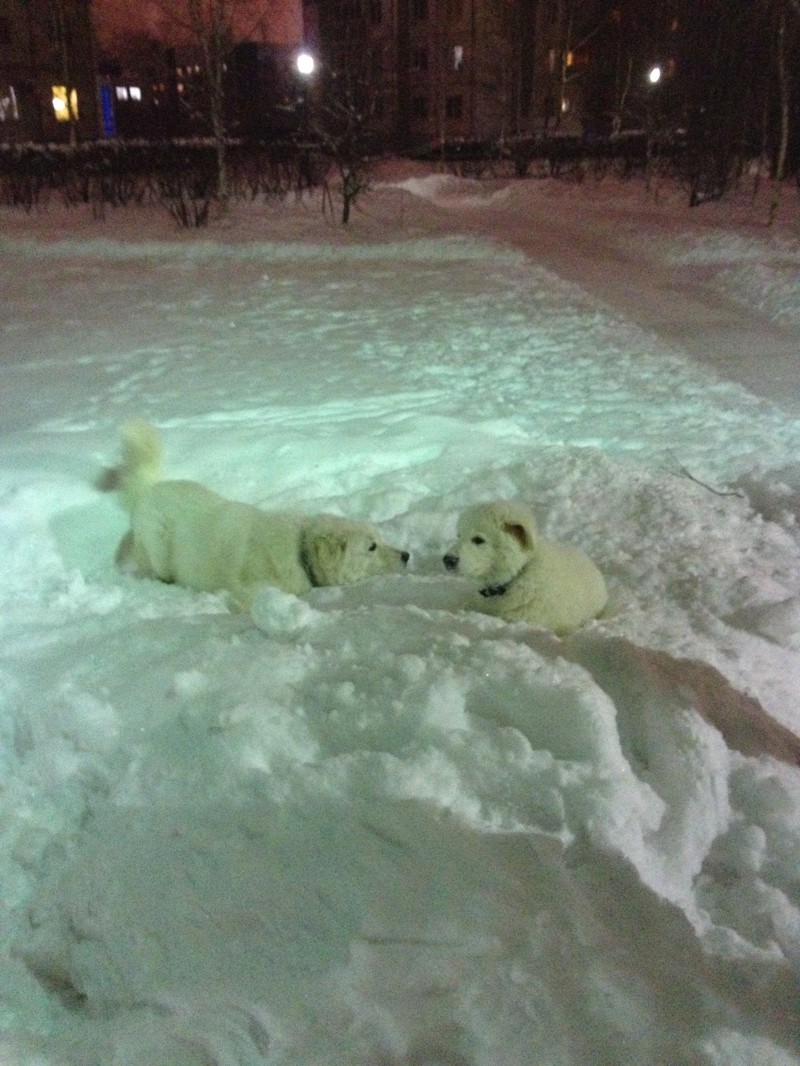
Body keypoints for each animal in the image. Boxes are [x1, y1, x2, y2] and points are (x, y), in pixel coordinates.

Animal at [99, 422, 409, 614]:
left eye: (380, 539)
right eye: (371, 547)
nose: (407, 555)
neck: (300, 551)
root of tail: (148, 490)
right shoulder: (251, 592)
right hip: (159, 550)